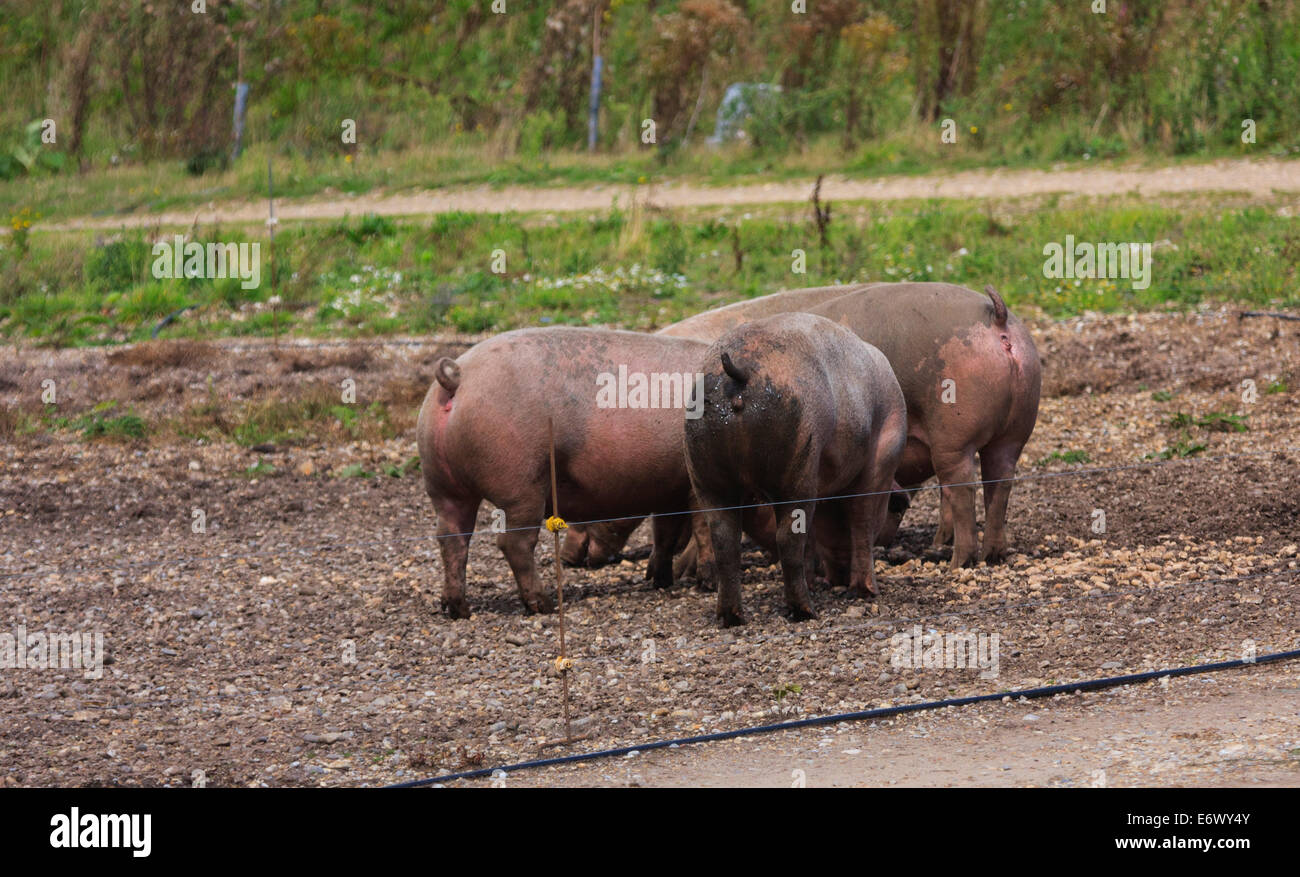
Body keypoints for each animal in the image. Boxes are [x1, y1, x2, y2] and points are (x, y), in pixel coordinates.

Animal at [416, 326, 707, 621]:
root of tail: (457, 376)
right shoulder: (693, 486)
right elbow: (702, 532)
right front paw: (705, 585)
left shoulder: (670, 491)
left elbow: (665, 535)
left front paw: (662, 582)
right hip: (521, 483)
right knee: (514, 543)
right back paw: (543, 605)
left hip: (443, 485)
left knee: (451, 538)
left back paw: (458, 609)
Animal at [686, 311, 909, 628]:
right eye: (897, 512)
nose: (838, 578)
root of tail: (739, 370)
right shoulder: (879, 463)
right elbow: (862, 522)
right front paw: (866, 592)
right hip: (799, 457)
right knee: (789, 538)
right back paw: (805, 611)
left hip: (705, 472)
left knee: (725, 539)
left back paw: (732, 617)